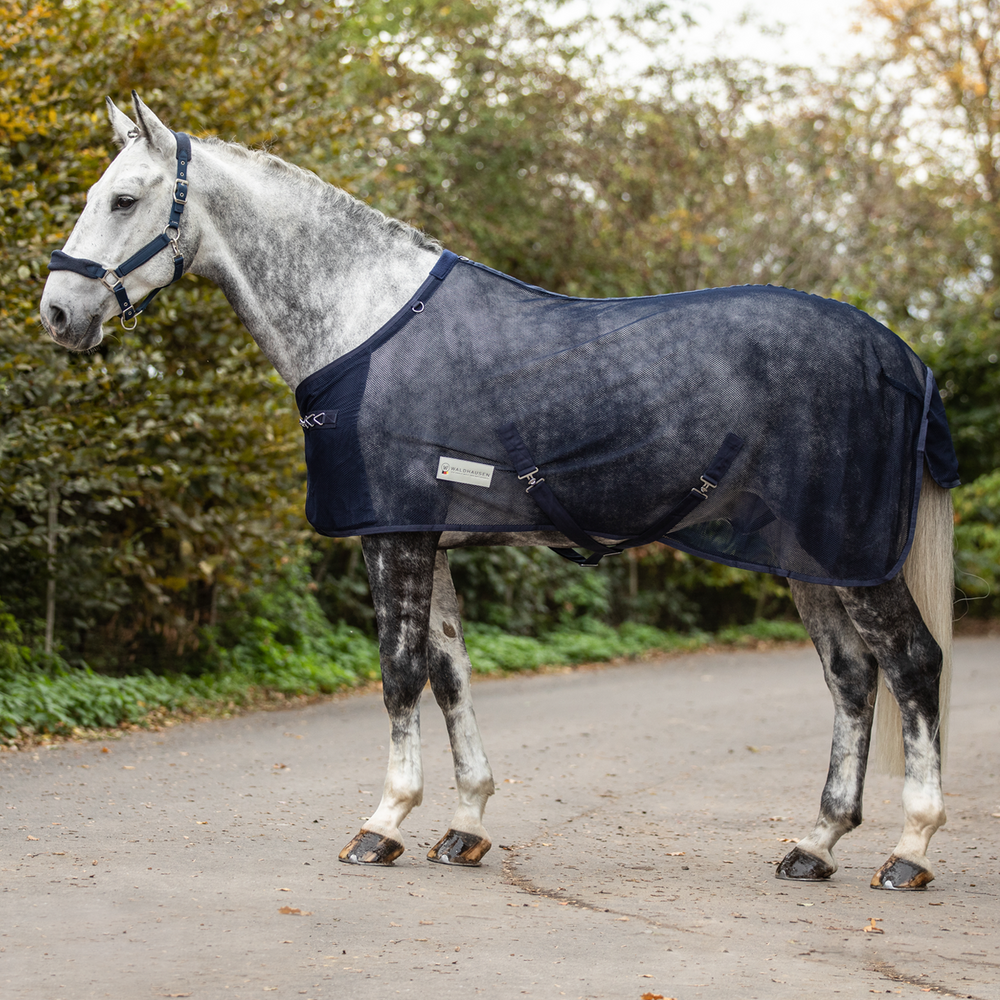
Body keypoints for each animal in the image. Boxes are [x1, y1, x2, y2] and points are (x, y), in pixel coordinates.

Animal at [41, 94, 960, 892]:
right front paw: (464, 824)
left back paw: (910, 850)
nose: (57, 313)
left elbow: (399, 671)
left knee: (911, 664)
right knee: (851, 676)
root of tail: (901, 356)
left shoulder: (393, 537)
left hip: (856, 555)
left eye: (124, 198)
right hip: (814, 560)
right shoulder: (427, 535)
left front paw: (383, 823)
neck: (364, 318)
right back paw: (816, 843)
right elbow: (450, 673)